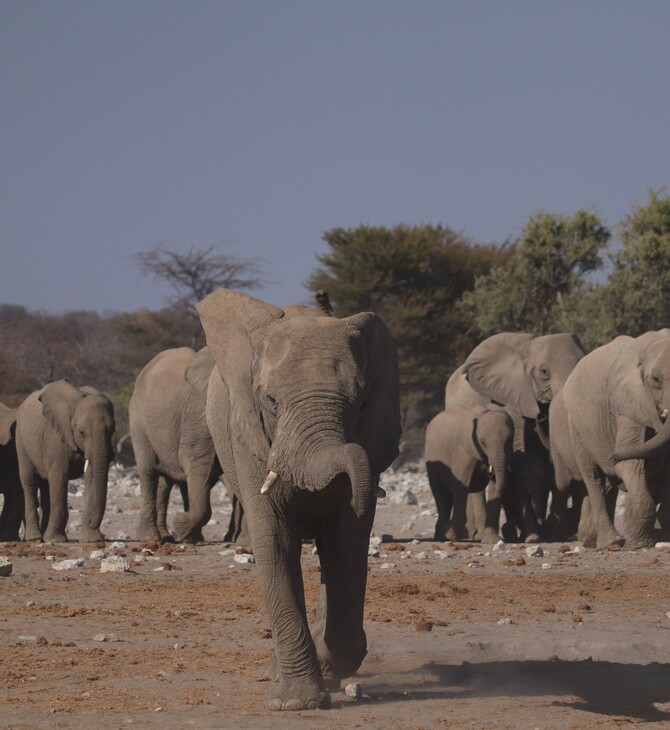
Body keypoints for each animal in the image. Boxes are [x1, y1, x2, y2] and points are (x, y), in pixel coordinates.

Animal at [16, 382, 115, 540]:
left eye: (112, 430)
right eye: (81, 432)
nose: (92, 522)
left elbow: (91, 476)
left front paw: (91, 539)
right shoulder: (55, 437)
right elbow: (59, 476)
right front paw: (55, 539)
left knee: (46, 486)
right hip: (21, 440)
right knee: (29, 482)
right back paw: (35, 538)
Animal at [197, 288, 402, 708]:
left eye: (361, 403)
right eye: (271, 400)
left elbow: (346, 543)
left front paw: (334, 666)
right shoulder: (248, 438)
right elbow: (275, 541)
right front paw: (297, 703)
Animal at [426, 404, 516, 540]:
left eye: (509, 441)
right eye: (483, 443)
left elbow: (494, 486)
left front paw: (491, 540)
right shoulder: (464, 452)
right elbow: (460, 485)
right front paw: (450, 536)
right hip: (431, 458)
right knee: (440, 494)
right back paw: (442, 536)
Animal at [560, 330, 670, 544]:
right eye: (655, 379)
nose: (613, 455)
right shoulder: (626, 405)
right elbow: (631, 461)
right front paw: (639, 542)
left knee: (609, 486)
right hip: (576, 428)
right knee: (594, 479)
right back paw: (612, 542)